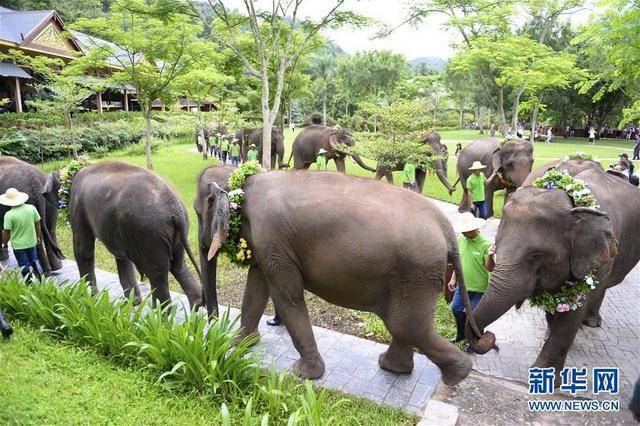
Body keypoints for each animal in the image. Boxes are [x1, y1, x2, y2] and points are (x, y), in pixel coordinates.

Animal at [69, 161, 202, 308]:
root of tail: (176, 209)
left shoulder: (78, 207)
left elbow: (83, 250)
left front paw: (87, 298)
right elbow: (122, 257)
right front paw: (132, 303)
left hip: (150, 234)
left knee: (157, 275)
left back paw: (158, 313)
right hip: (174, 234)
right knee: (178, 267)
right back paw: (196, 308)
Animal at [192, 166, 492, 382]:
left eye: (197, 213)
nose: (211, 329)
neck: (242, 178)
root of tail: (446, 228)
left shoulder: (271, 238)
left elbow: (288, 296)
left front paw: (303, 375)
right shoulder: (267, 245)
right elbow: (256, 287)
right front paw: (239, 345)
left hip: (416, 272)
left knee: (406, 326)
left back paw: (456, 375)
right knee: (404, 325)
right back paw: (394, 368)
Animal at [464, 158, 640, 382]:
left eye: (536, 256)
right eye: (497, 243)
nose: (490, 338)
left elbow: (571, 313)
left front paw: (544, 375)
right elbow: (552, 300)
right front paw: (549, 331)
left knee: (601, 287)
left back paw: (591, 323)